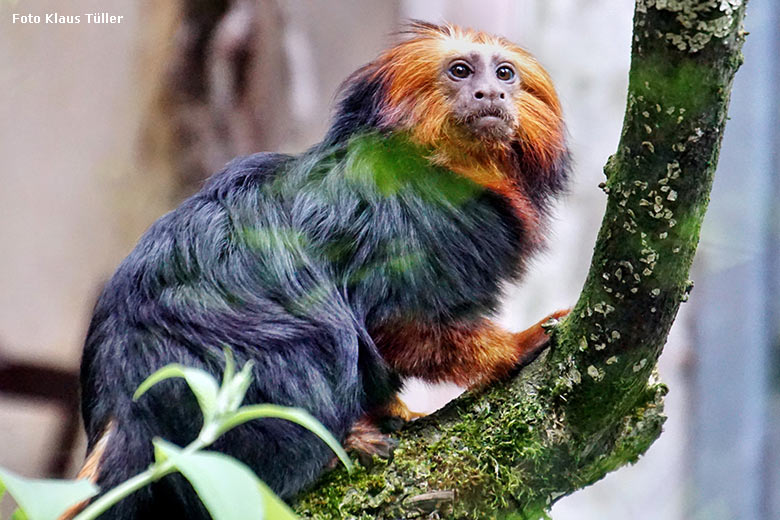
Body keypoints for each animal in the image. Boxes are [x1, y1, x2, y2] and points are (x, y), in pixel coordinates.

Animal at [74, 22, 568, 516]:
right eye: (461, 71)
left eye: (505, 73)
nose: (490, 94)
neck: (445, 167)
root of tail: (124, 401)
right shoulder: (400, 229)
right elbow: (402, 324)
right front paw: (511, 348)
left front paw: (392, 410)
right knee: (317, 341)